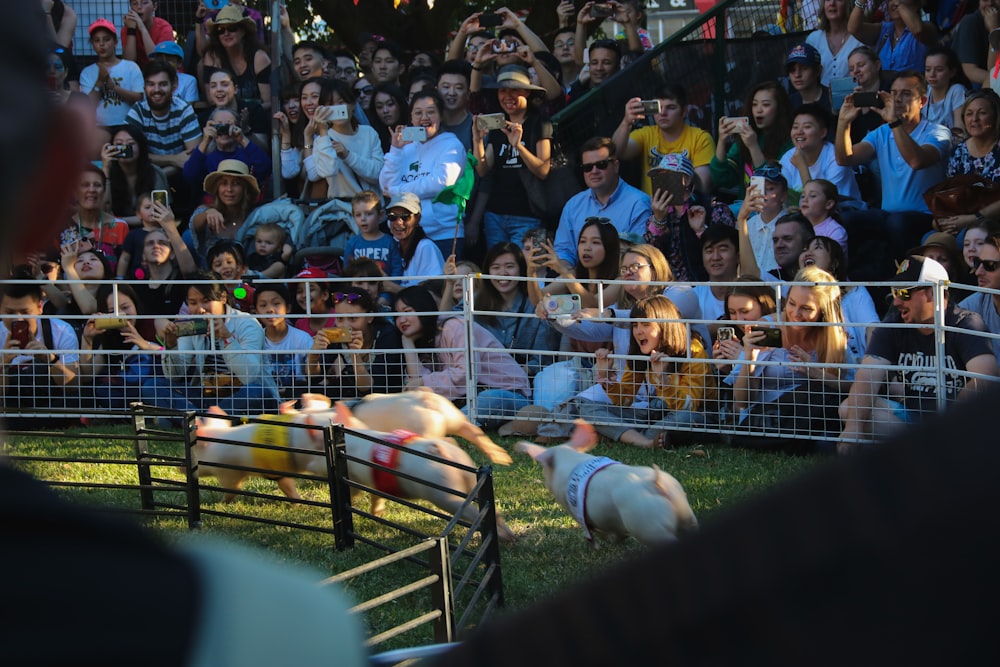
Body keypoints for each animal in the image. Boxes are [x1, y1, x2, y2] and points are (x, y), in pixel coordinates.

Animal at [520, 422, 700, 548]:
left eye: (545, 469)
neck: (569, 459)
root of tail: (655, 484)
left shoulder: (573, 508)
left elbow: (592, 529)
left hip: (649, 525)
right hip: (686, 513)